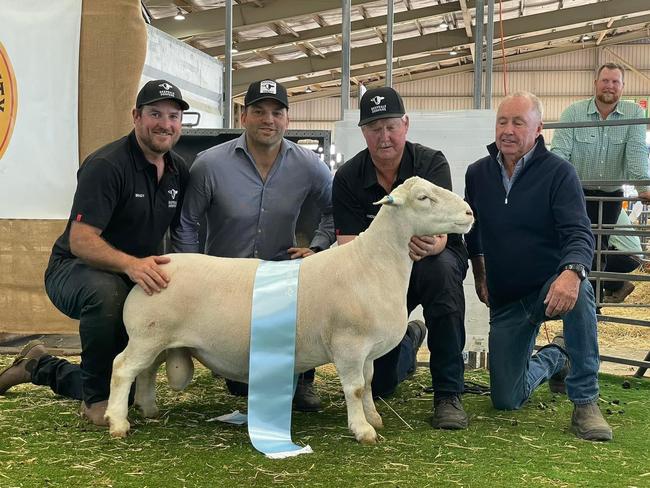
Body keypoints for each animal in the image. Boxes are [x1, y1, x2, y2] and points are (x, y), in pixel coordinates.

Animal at [105, 177, 470, 444]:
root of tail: (151, 267)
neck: (371, 264)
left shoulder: (365, 351)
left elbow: (367, 383)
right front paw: (362, 430)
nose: (469, 214)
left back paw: (149, 408)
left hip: (159, 339)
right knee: (123, 368)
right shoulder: (349, 344)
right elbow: (353, 388)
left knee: (146, 371)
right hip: (147, 335)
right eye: (423, 197)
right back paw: (117, 422)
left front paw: (373, 418)